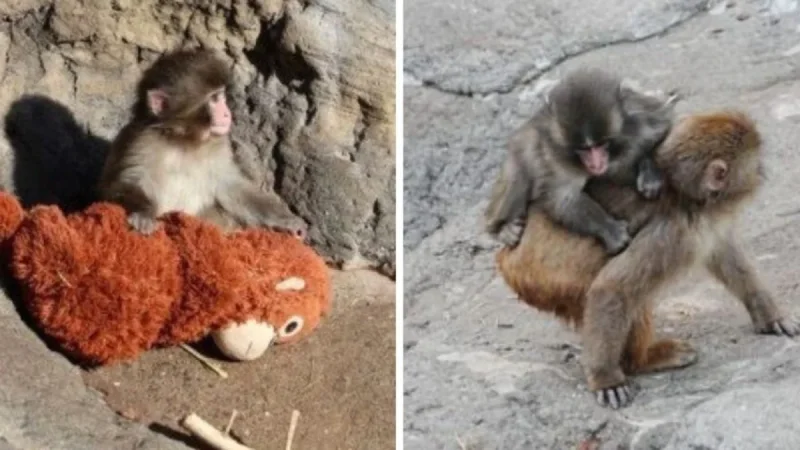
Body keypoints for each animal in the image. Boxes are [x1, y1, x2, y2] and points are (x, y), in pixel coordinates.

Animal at [98, 48, 306, 238]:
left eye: (221, 96)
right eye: (214, 99)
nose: (227, 113)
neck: (184, 141)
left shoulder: (219, 147)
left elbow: (232, 187)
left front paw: (287, 221)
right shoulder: (141, 142)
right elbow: (124, 182)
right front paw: (143, 213)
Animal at [484, 68, 677, 254]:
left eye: (601, 144)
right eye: (584, 149)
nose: (596, 165)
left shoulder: (643, 114)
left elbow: (663, 127)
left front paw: (649, 172)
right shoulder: (555, 156)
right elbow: (564, 198)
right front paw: (610, 229)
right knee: (517, 174)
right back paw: (501, 229)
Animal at [495, 110, 799, 409]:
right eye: (755, 164)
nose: (763, 172)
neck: (684, 193)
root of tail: (506, 256)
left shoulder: (703, 222)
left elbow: (723, 250)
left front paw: (769, 314)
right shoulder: (673, 234)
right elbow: (611, 288)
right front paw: (606, 379)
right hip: (548, 281)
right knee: (628, 298)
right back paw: (641, 361)